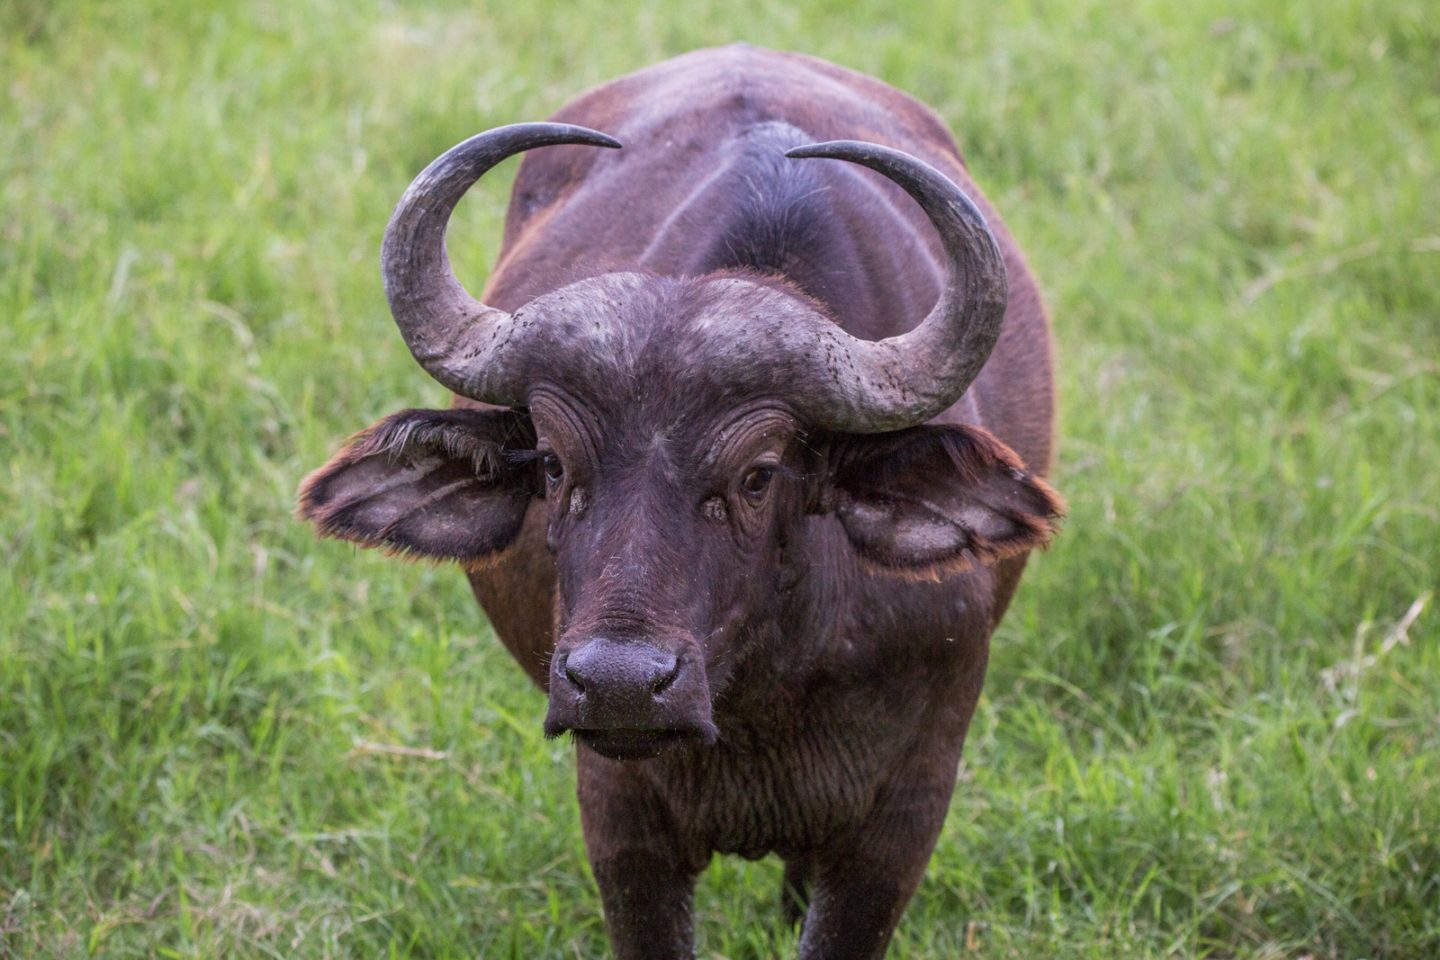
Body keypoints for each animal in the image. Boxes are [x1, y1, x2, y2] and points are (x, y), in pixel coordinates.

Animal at [300, 43, 1063, 960]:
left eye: (758, 474)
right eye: (551, 464)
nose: (620, 684)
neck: (764, 699)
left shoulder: (900, 822)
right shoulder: (622, 819)